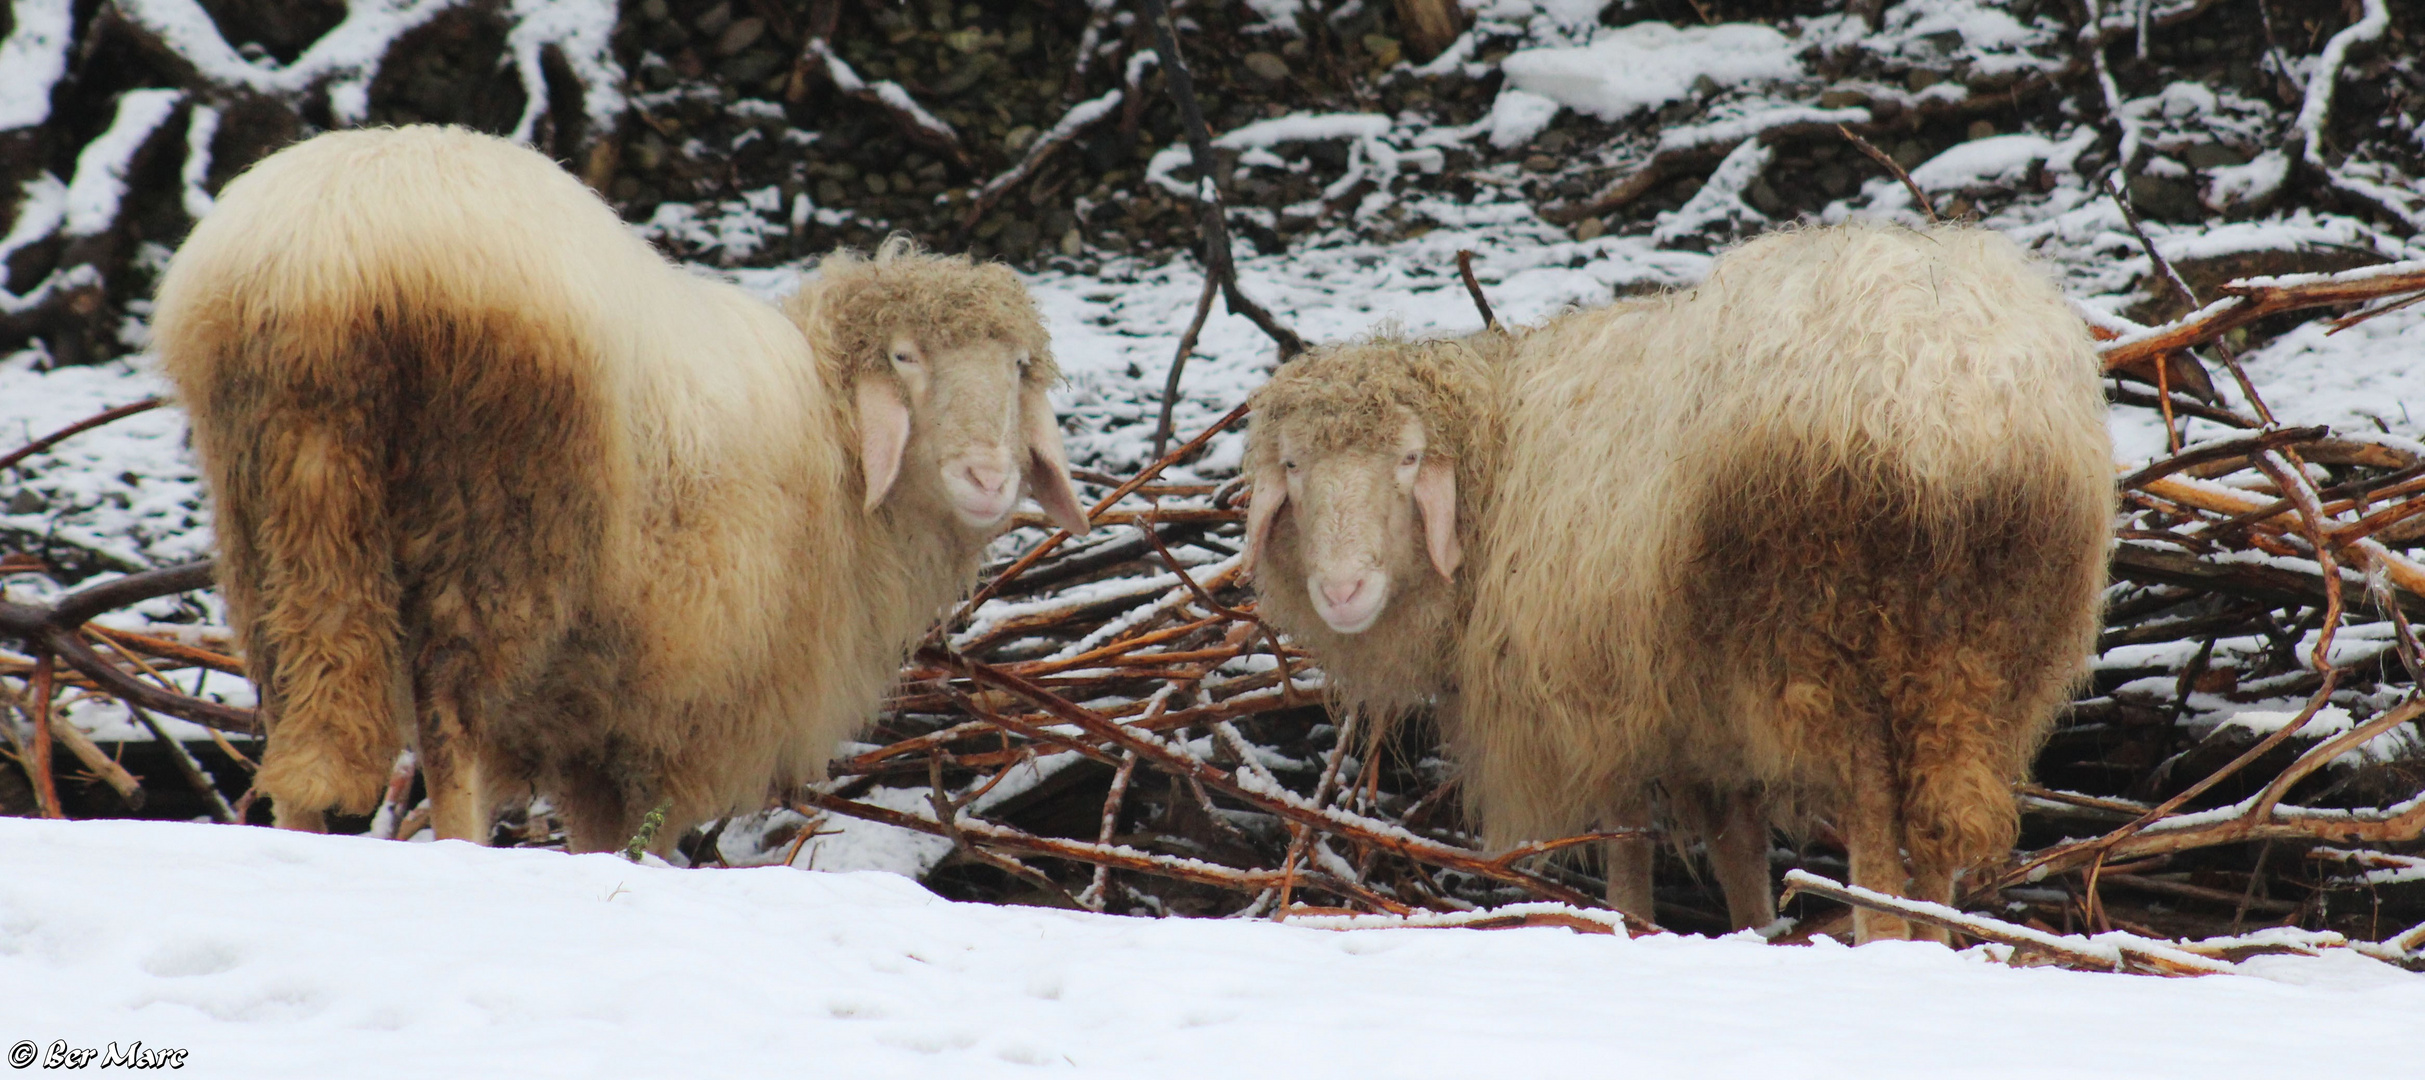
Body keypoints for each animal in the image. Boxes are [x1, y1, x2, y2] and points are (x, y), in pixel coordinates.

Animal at [151, 126, 1091, 849]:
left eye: (1018, 369)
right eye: (904, 358)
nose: (988, 477)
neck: (835, 440)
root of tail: (331, 256)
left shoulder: (585, 721)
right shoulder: (664, 717)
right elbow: (626, 839)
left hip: (278, 493)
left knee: (303, 695)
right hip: (493, 510)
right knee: (453, 720)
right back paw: (458, 847)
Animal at [1241, 223, 2114, 936]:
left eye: (1409, 459)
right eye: (1294, 466)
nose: (1341, 592)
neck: (1500, 450)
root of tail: (1948, 391)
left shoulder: (1603, 695)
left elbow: (1627, 839)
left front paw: (1630, 922)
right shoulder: (1702, 715)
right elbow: (1736, 841)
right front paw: (1755, 927)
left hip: (1823, 623)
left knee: (1871, 811)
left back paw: (1883, 934)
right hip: (1988, 639)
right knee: (1937, 815)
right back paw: (1932, 935)